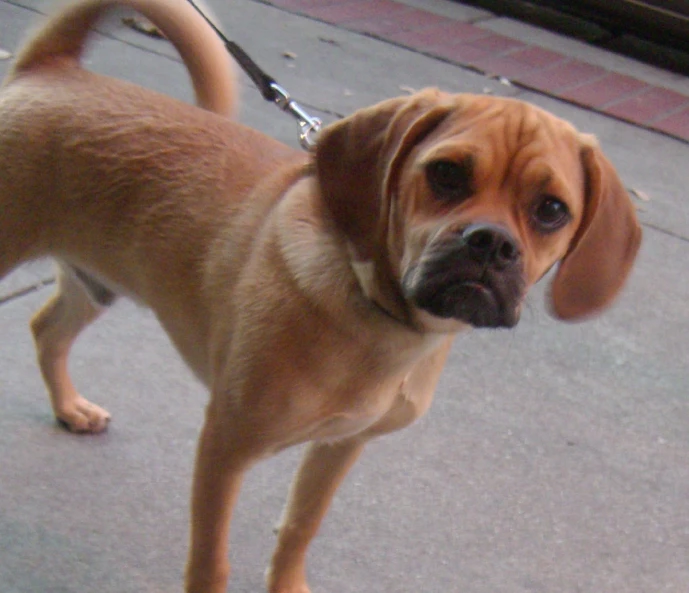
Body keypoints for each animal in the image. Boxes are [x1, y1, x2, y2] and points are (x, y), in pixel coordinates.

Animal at [1, 1, 640, 592]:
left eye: (551, 209)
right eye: (446, 173)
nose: (491, 243)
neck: (375, 314)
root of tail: (54, 67)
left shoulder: (339, 446)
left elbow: (299, 528)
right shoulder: (225, 444)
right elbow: (211, 557)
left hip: (95, 282)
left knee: (45, 329)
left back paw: (69, 407)